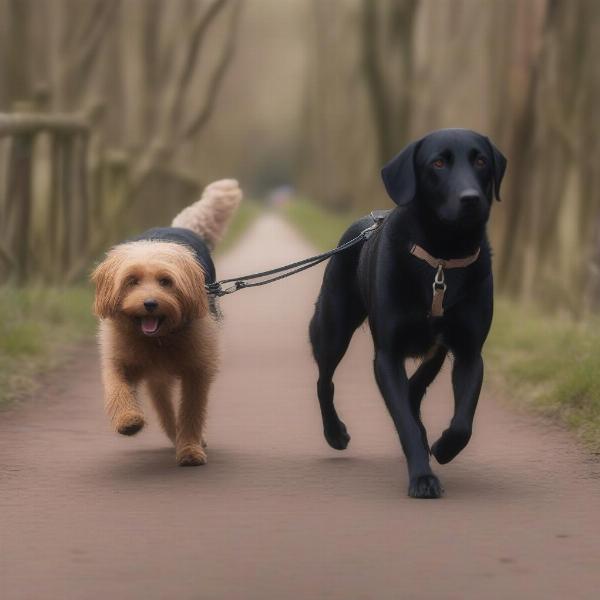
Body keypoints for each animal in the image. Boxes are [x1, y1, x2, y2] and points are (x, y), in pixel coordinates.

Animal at [91, 178, 241, 464]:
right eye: (132, 281)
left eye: (166, 281)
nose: (150, 303)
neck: (158, 340)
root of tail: (180, 227)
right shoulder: (118, 359)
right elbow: (116, 386)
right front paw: (128, 420)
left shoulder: (197, 370)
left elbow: (191, 411)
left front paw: (190, 449)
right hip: (157, 378)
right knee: (165, 410)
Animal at [310, 127, 506, 496]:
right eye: (438, 163)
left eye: (481, 161)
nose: (471, 199)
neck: (443, 256)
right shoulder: (387, 355)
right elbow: (404, 422)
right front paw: (423, 478)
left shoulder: (470, 352)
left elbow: (463, 423)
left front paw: (443, 447)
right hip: (332, 327)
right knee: (324, 380)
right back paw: (335, 433)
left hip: (435, 351)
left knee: (415, 390)